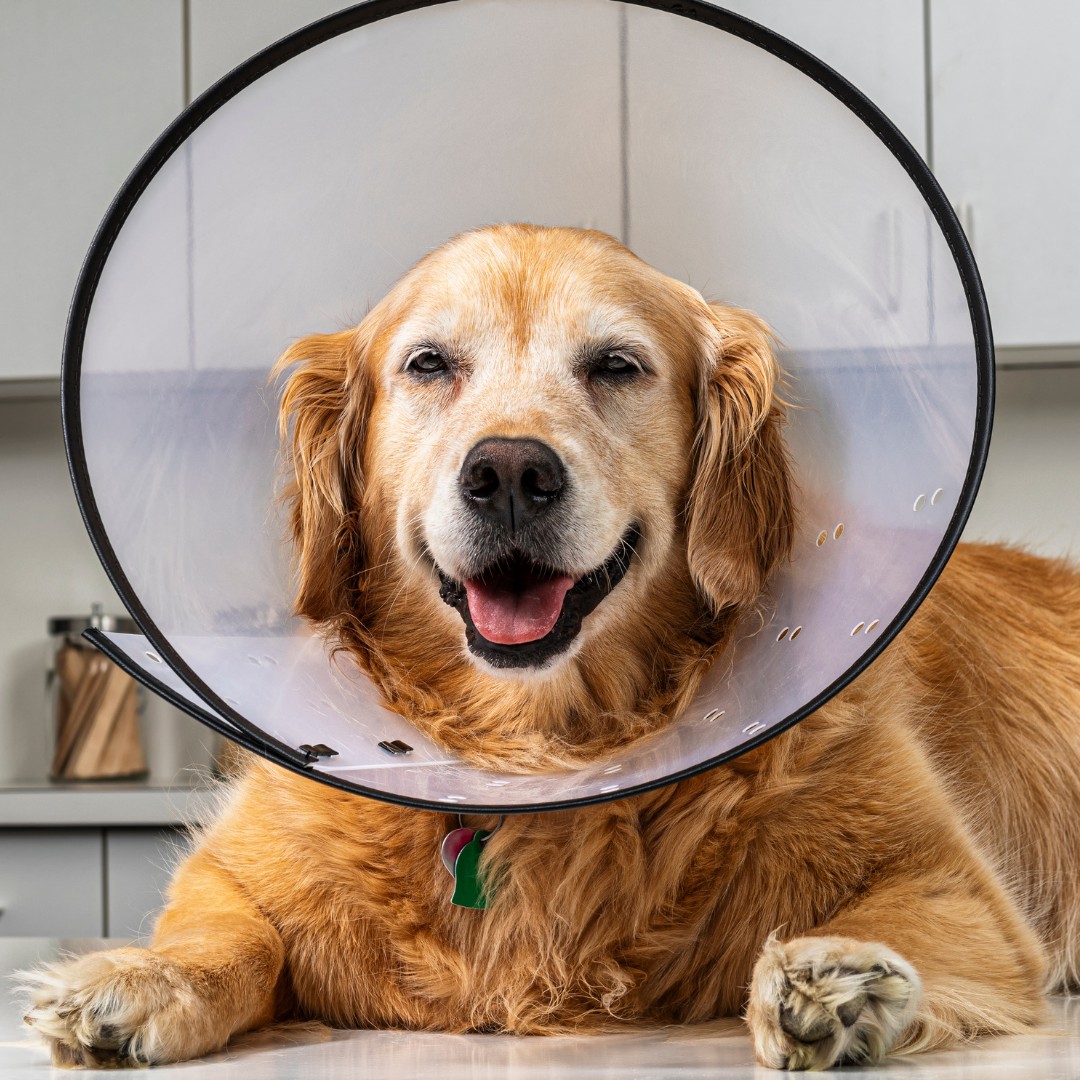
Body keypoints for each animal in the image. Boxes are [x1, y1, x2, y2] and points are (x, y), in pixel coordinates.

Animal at [21, 223, 1080, 1067]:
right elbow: (231, 935)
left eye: (616, 365)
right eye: (428, 364)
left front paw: (839, 980)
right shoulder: (233, 868)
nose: (509, 473)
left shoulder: (961, 889)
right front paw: (138, 982)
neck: (533, 759)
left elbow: (884, 910)